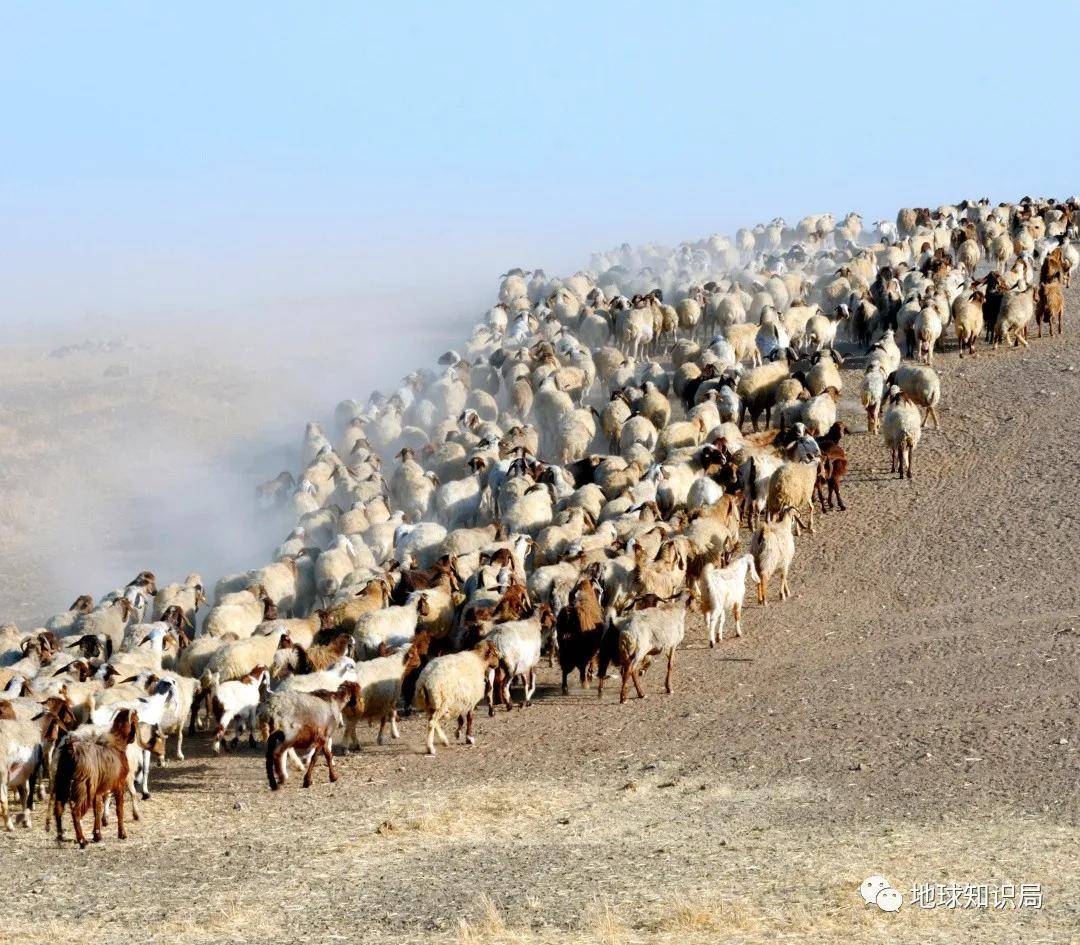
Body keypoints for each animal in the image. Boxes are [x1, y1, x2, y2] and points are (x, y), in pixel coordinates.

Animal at [50, 708, 138, 851]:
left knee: (58, 810)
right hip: (83, 787)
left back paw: (60, 837)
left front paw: (97, 836)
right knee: (75, 812)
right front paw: (122, 834)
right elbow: (119, 810)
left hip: (63, 782)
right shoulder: (119, 784)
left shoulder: (97, 790)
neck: (117, 742)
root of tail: (71, 750)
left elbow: (98, 810)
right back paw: (82, 841)